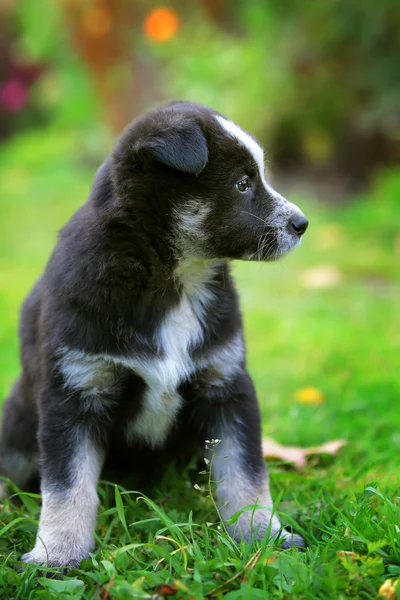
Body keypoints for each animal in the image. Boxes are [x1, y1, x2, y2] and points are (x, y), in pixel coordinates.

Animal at [0, 102, 310, 568]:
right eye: (242, 184)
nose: (302, 223)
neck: (174, 283)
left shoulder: (225, 385)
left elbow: (245, 473)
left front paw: (262, 535)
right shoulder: (75, 391)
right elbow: (67, 485)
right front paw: (58, 554)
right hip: (16, 423)